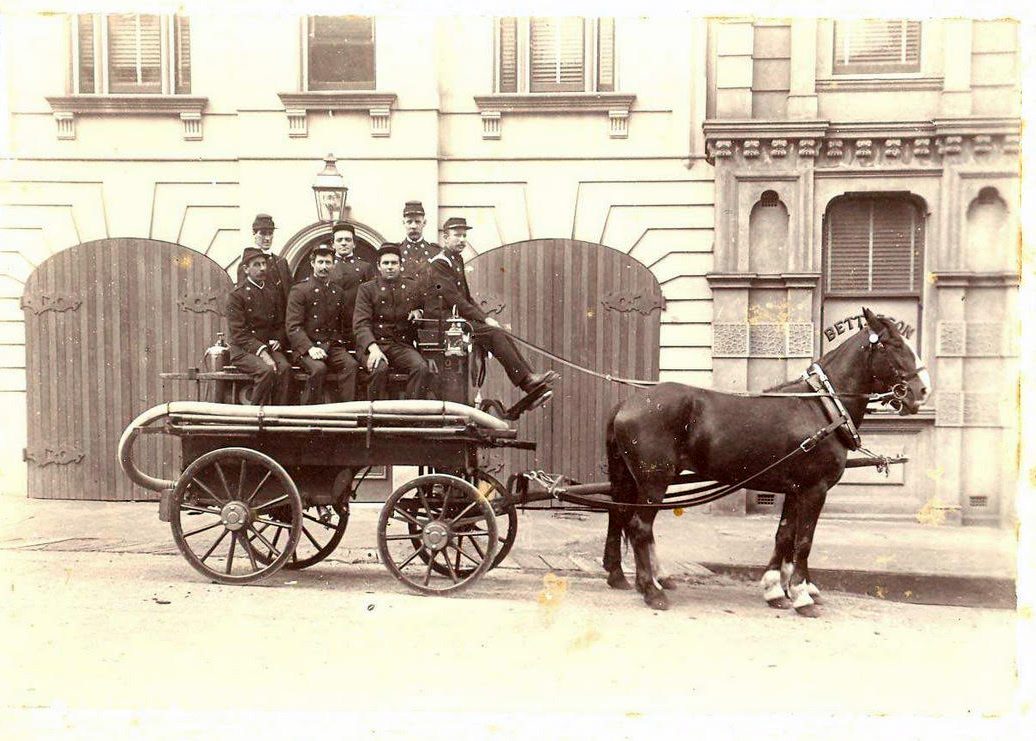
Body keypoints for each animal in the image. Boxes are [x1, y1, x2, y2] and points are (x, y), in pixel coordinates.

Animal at [600, 306, 932, 613]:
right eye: (893, 344)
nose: (922, 390)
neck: (823, 408)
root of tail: (628, 403)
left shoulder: (796, 490)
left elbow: (784, 536)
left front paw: (777, 590)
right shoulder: (815, 489)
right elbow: (804, 541)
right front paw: (801, 596)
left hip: (631, 479)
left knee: (621, 516)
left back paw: (629, 577)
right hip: (654, 480)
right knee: (640, 527)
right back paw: (651, 590)